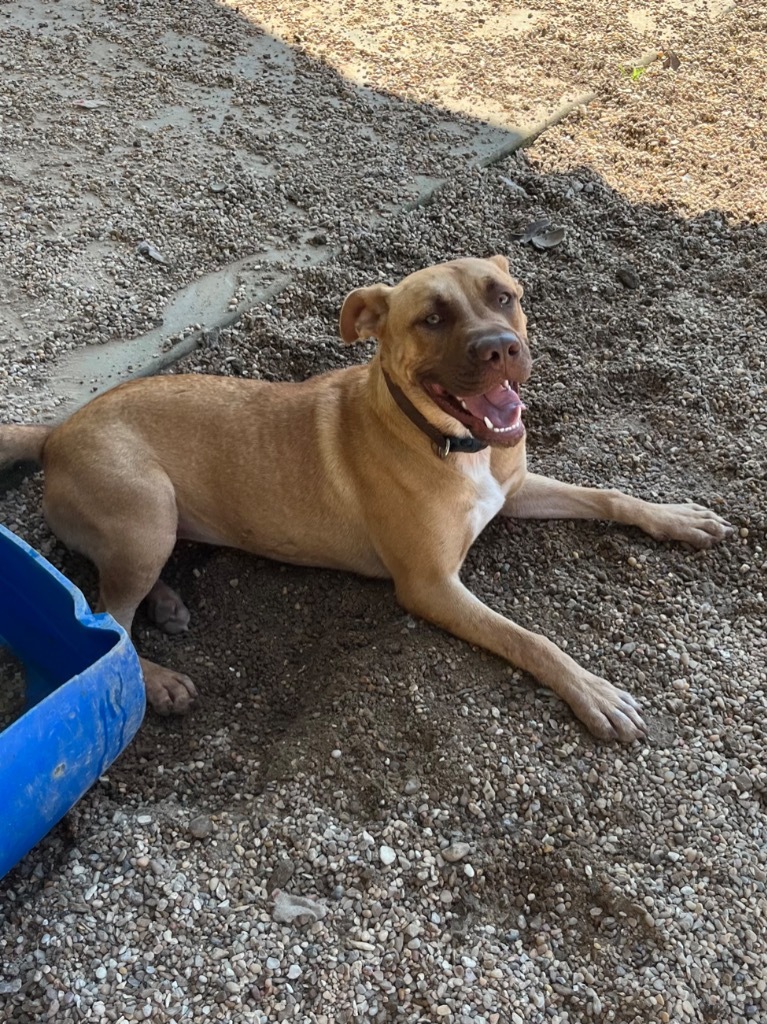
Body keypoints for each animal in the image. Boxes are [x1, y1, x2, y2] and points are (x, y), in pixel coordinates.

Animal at [0, 251, 729, 741]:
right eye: (431, 318)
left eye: (504, 297)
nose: (501, 348)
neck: (450, 442)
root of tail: (57, 432)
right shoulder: (431, 586)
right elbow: (531, 640)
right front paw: (592, 690)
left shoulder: (514, 489)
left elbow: (607, 494)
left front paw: (672, 516)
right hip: (145, 512)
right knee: (109, 623)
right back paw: (157, 679)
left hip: (158, 523)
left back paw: (169, 603)